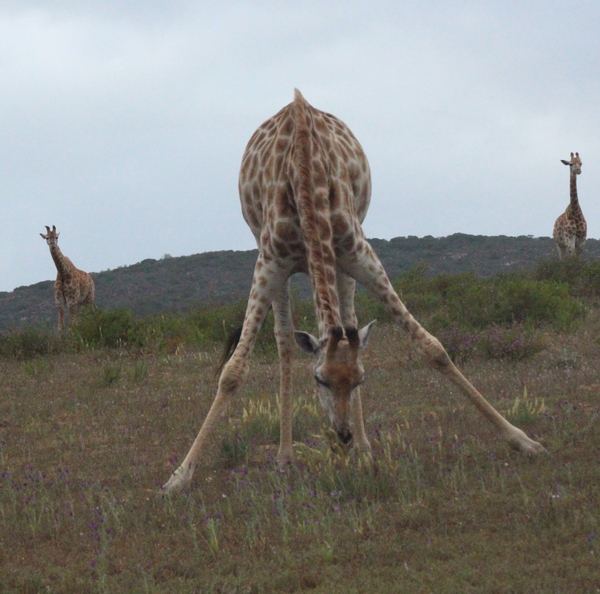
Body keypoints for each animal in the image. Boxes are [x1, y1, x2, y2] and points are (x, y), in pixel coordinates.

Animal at [162, 89, 548, 494]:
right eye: (319, 379)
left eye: (360, 379)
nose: (342, 436)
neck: (306, 175)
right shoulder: (269, 261)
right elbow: (233, 371)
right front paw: (179, 475)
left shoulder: (358, 250)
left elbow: (433, 346)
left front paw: (523, 440)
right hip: (274, 260)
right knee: (284, 341)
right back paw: (285, 455)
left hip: (342, 261)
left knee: (347, 318)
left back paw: (362, 446)